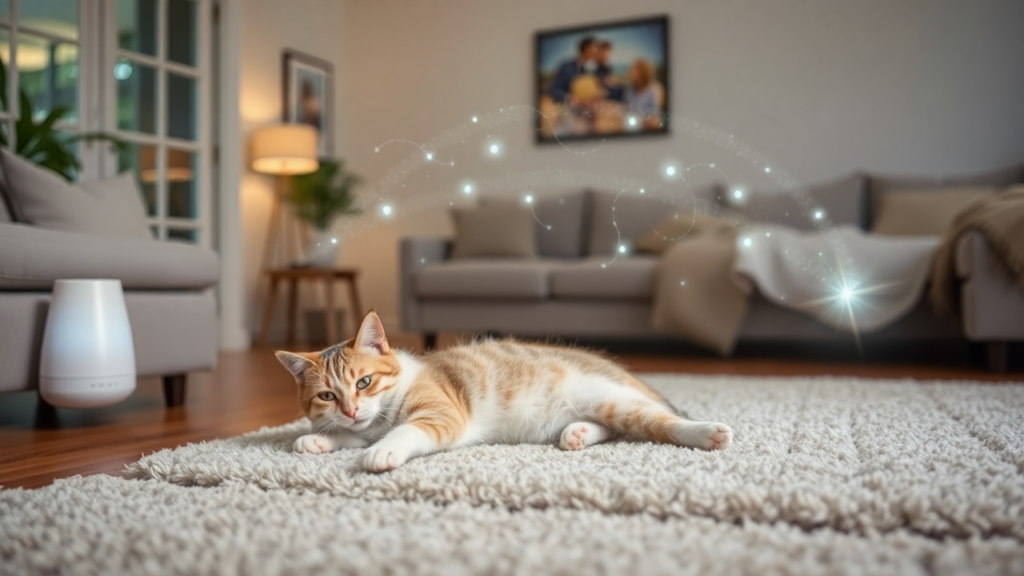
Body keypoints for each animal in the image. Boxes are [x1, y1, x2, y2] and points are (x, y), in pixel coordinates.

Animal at [276, 309, 733, 471]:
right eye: (327, 396)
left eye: (365, 382)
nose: (352, 409)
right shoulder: (361, 425)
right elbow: (349, 435)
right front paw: (318, 440)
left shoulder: (443, 414)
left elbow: (402, 432)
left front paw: (382, 450)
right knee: (616, 428)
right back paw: (578, 433)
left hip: (611, 399)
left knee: (657, 422)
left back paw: (707, 432)